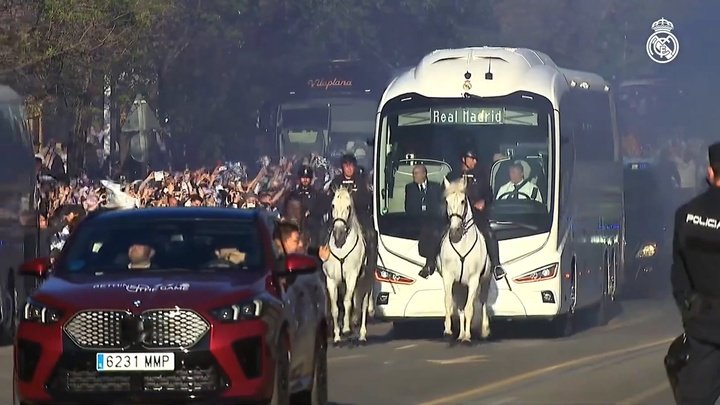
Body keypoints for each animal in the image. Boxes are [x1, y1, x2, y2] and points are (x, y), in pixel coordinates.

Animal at [324, 186, 368, 344]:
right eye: (332, 205)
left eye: (348, 206)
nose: (338, 232)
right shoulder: (331, 280)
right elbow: (335, 308)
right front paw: (337, 336)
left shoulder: (352, 277)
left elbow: (347, 302)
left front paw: (347, 328)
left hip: (366, 281)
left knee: (363, 305)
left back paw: (361, 334)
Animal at [436, 178, 492, 342]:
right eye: (447, 201)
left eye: (462, 201)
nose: (455, 230)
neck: (460, 243)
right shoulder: (449, 278)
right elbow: (449, 303)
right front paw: (448, 331)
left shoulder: (474, 280)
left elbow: (469, 308)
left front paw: (467, 337)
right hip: (459, 285)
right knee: (460, 306)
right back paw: (460, 334)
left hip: (485, 281)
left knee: (482, 302)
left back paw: (482, 330)